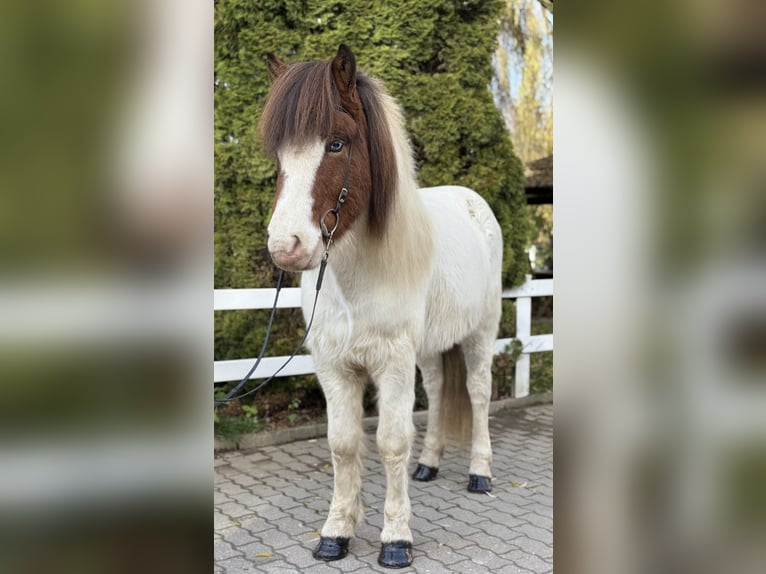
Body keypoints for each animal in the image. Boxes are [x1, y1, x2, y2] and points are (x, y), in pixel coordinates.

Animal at [259, 44, 503, 569]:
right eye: (280, 152)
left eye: (336, 143)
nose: (286, 246)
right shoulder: (334, 367)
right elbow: (343, 445)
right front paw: (336, 532)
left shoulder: (392, 363)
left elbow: (390, 443)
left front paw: (395, 540)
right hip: (429, 349)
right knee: (438, 391)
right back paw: (428, 465)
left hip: (481, 334)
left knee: (477, 393)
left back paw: (479, 473)